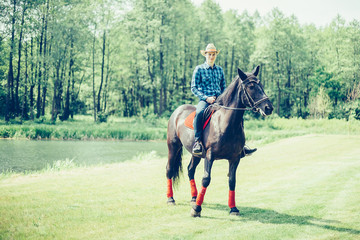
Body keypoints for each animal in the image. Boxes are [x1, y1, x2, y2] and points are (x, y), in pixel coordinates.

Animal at [166, 66, 272, 218]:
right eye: (251, 86)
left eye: (261, 85)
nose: (268, 108)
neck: (226, 124)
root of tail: (177, 111)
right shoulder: (209, 156)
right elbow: (206, 179)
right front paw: (196, 209)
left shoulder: (234, 158)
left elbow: (232, 181)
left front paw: (233, 208)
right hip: (173, 146)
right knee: (169, 169)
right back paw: (171, 199)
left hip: (195, 154)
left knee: (190, 170)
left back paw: (194, 197)